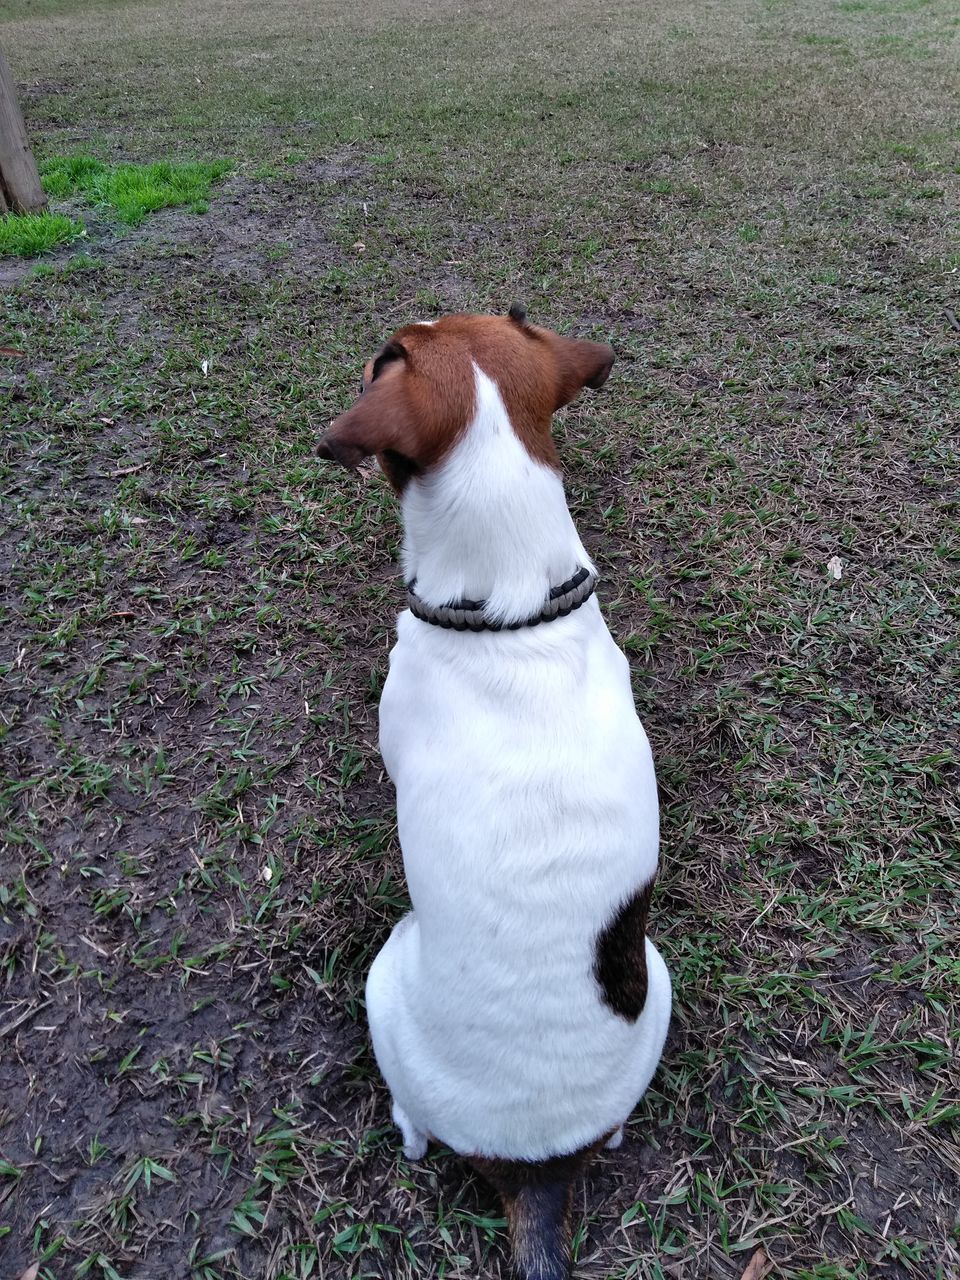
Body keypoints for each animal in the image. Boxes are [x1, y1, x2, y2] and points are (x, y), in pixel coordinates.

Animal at [320, 309, 670, 1280]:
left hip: (382, 982)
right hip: (657, 980)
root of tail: (537, 1169)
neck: (513, 617)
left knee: (409, 1119)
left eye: (382, 358)